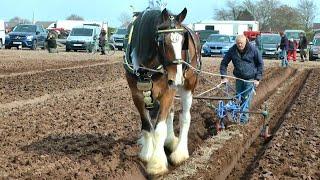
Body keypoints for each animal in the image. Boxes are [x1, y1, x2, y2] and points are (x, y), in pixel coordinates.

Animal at [124, 7, 201, 175]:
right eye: (162, 41)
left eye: (183, 42)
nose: (177, 78)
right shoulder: (137, 95)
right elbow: (147, 126)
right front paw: (147, 153)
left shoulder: (167, 92)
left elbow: (159, 129)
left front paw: (156, 164)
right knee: (170, 113)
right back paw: (171, 141)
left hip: (189, 85)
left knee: (185, 117)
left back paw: (180, 152)